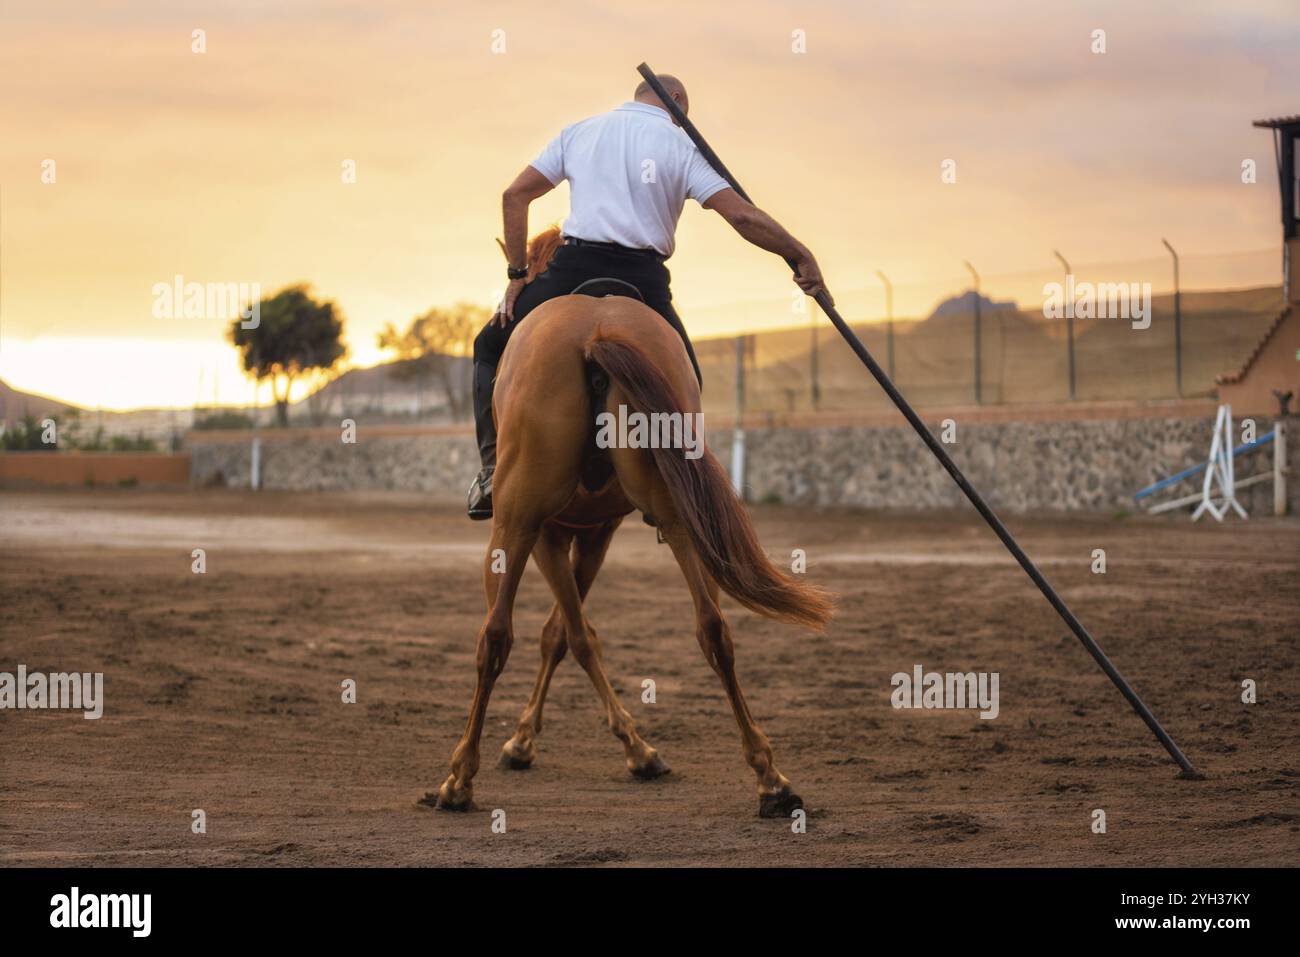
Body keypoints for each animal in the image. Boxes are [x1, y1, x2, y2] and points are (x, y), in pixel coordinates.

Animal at [431, 230, 826, 816]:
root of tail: (596, 332)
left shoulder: (550, 533)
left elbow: (570, 635)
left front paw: (534, 742)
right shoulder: (597, 533)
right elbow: (566, 634)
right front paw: (630, 748)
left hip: (515, 523)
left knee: (494, 636)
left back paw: (459, 779)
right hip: (676, 512)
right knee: (713, 628)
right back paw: (771, 780)